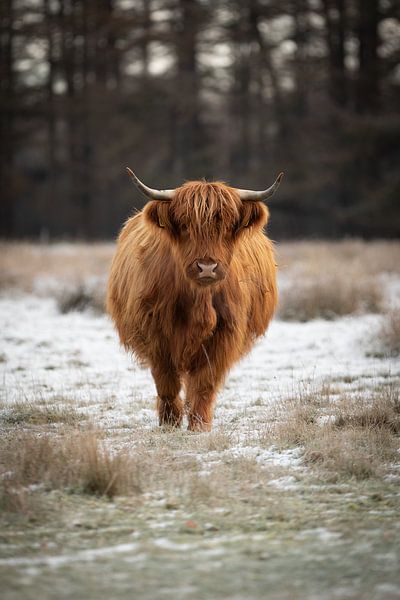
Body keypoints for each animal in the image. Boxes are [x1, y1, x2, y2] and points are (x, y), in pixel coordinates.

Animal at [106, 169, 282, 432]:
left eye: (227, 226)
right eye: (185, 226)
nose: (206, 267)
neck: (198, 301)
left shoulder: (224, 334)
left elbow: (204, 383)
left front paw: (199, 425)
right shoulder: (155, 334)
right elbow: (166, 382)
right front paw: (170, 422)